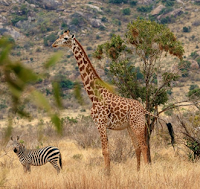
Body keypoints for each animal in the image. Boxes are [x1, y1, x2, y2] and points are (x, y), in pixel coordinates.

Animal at [51, 29, 150, 174]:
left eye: (65, 38)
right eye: (59, 36)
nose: (54, 44)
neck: (93, 96)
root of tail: (143, 109)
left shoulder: (100, 124)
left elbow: (105, 151)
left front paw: (107, 174)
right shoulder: (101, 125)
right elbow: (106, 151)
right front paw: (107, 172)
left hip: (138, 124)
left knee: (144, 146)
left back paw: (148, 170)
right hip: (130, 126)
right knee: (137, 147)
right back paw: (137, 171)